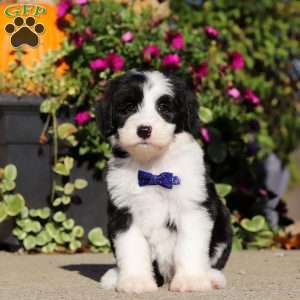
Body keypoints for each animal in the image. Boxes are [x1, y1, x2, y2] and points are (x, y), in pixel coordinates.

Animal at [97, 69, 233, 292]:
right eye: (129, 107)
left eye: (163, 107)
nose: (144, 130)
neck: (153, 168)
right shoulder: (124, 211)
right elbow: (131, 247)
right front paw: (136, 282)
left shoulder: (192, 207)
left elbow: (190, 245)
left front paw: (191, 280)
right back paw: (114, 276)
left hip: (223, 225)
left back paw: (212, 277)